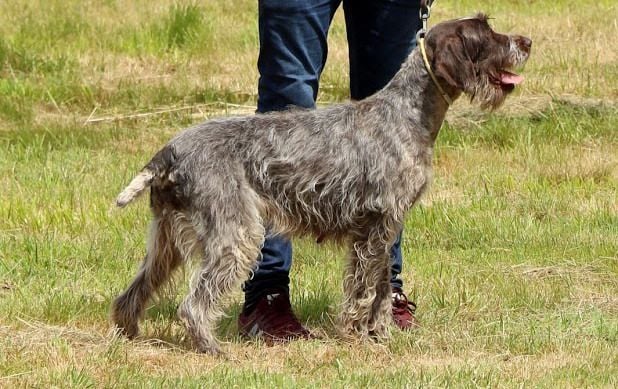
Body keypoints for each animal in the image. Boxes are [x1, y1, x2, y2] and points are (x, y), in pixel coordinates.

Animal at [109, 13, 528, 354]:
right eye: (487, 34)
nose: (526, 42)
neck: (408, 113)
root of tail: (169, 151)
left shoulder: (380, 230)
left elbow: (376, 288)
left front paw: (377, 334)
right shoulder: (377, 228)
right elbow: (369, 290)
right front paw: (365, 337)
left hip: (166, 239)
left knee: (134, 291)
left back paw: (129, 335)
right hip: (236, 234)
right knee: (193, 305)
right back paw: (213, 349)